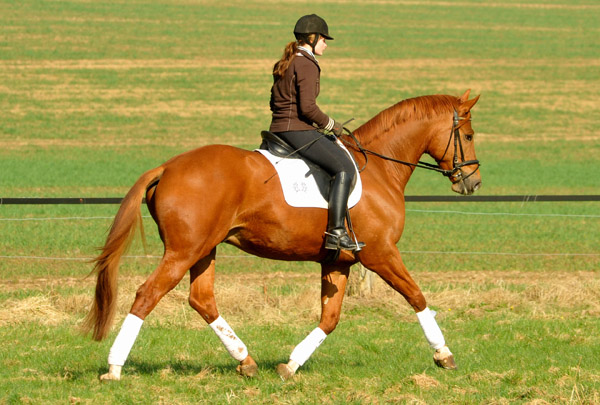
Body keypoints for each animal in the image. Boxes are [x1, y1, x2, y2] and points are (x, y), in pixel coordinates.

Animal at [82, 87, 480, 378]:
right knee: (147, 295)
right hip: (183, 250)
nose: (472, 182)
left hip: (204, 249)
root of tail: (167, 167)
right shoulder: (380, 253)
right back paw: (114, 368)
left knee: (202, 299)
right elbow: (417, 296)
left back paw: (246, 361)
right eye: (469, 134)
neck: (380, 169)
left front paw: (291, 365)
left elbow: (330, 318)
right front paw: (444, 355)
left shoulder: (339, 261)